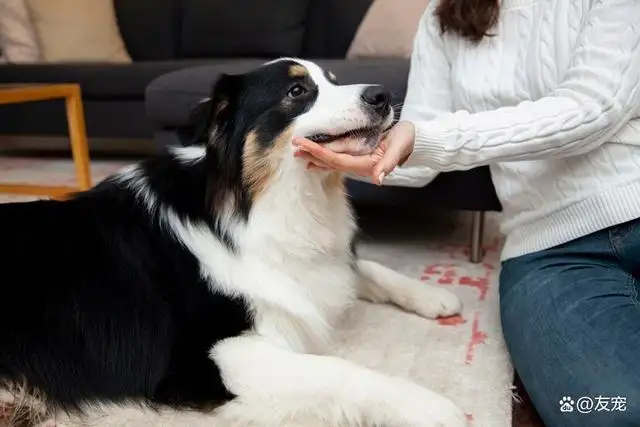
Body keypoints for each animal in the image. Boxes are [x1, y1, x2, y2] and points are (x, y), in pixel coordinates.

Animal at [0, 57, 470, 427]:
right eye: (297, 91)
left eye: (334, 80)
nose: (383, 95)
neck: (259, 203)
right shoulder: (203, 357)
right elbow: (338, 370)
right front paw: (429, 406)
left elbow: (362, 266)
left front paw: (432, 295)